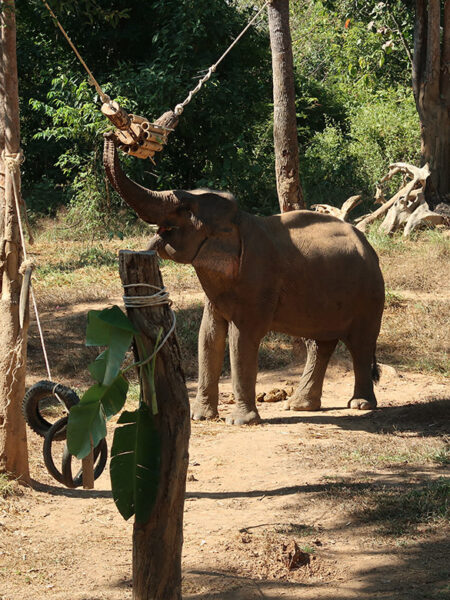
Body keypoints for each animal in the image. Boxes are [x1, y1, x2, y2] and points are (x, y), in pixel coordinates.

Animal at [103, 134, 384, 424]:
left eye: (184, 208)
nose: (110, 136)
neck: (240, 220)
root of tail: (369, 246)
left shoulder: (258, 279)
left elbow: (241, 338)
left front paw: (240, 422)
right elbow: (209, 336)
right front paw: (200, 418)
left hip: (370, 293)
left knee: (360, 342)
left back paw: (360, 405)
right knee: (321, 344)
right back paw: (299, 406)